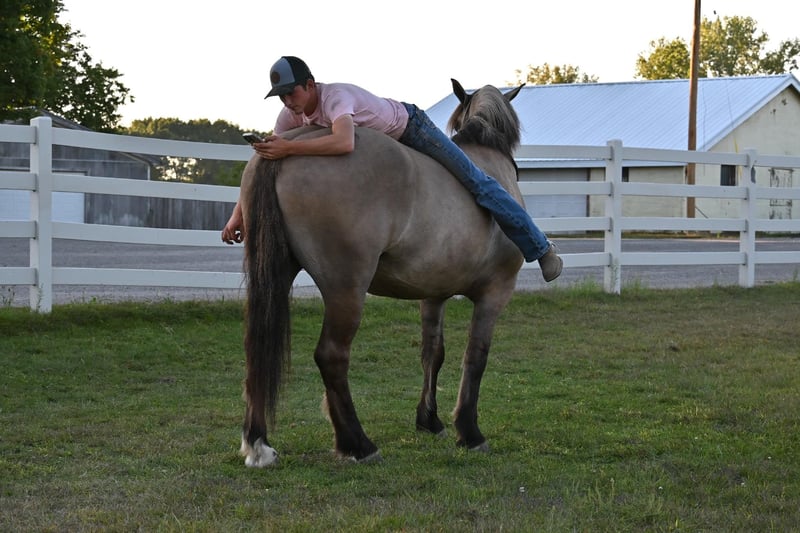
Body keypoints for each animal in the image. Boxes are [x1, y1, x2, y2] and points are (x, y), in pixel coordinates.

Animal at [239, 79, 526, 467]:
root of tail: (282, 149)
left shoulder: (433, 293)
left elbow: (433, 353)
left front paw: (429, 420)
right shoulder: (494, 292)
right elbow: (475, 356)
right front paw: (469, 432)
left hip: (278, 276)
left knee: (257, 348)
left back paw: (259, 443)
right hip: (346, 288)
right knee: (331, 355)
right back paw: (358, 444)